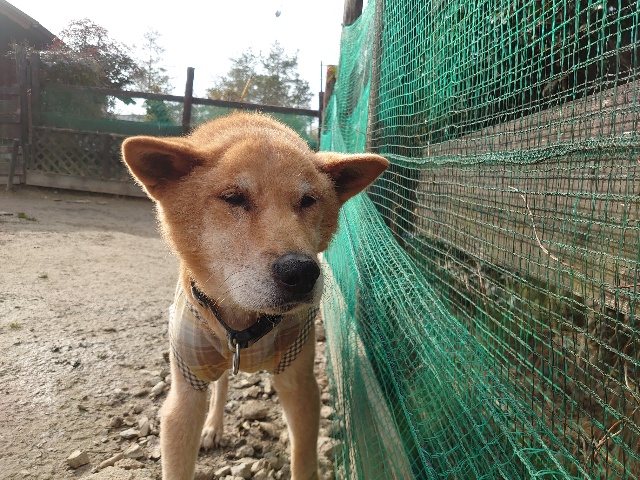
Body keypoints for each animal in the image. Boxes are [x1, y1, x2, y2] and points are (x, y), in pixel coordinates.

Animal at [122, 112, 388, 480]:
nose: (301, 272)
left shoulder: (299, 384)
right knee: (221, 385)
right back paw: (213, 427)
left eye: (308, 200)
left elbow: (303, 460)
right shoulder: (185, 393)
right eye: (233, 197)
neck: (244, 321)